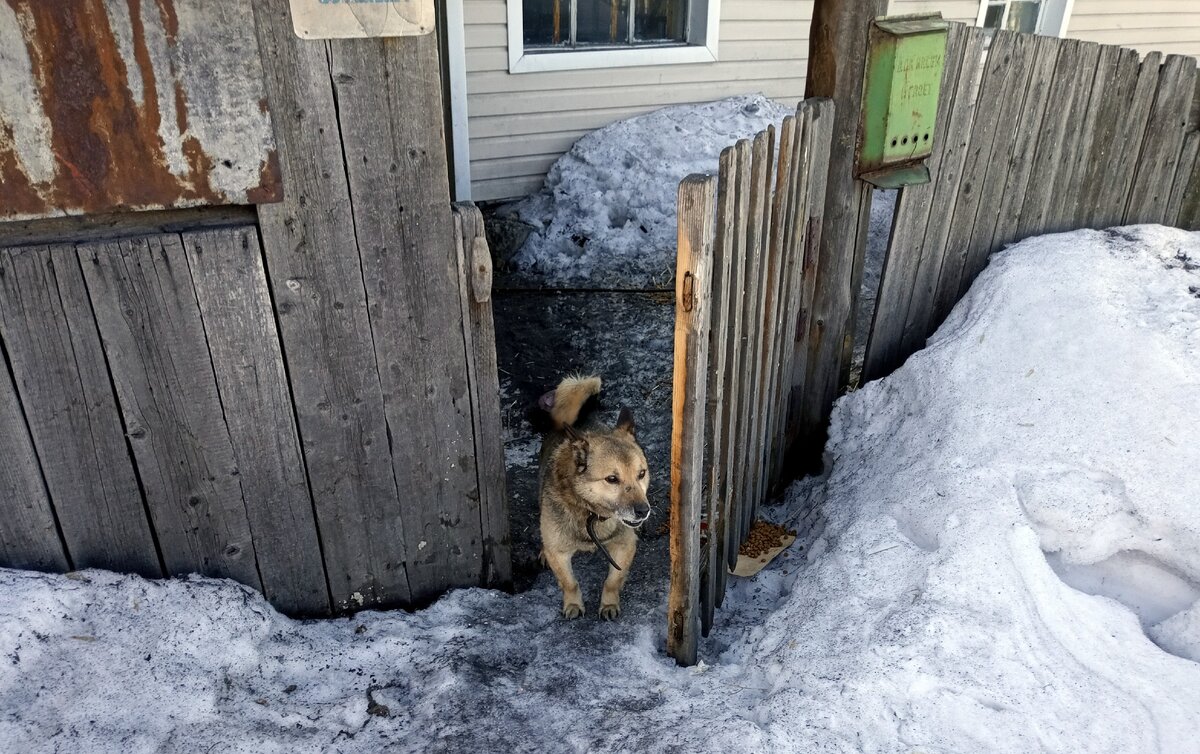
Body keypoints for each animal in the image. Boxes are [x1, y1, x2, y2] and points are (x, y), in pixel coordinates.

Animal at [532, 374, 652, 619]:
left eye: (641, 474)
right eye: (612, 479)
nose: (643, 511)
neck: (591, 512)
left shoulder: (625, 546)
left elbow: (613, 581)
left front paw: (608, 604)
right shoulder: (559, 553)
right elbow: (569, 582)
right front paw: (573, 604)